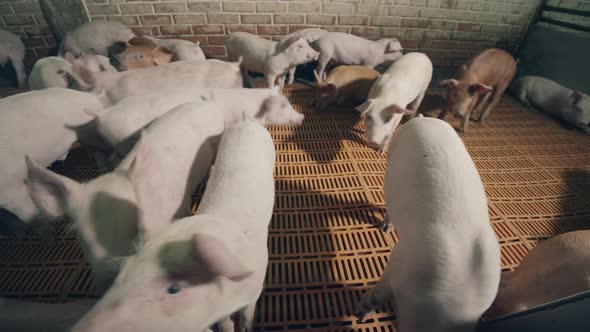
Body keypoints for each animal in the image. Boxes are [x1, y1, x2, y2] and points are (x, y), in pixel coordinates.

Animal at [0, 88, 110, 244]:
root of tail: (91, 96)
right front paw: (19, 237)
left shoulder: (9, 187)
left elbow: (28, 214)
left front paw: (48, 240)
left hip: (90, 133)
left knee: (100, 151)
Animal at [68, 119, 276, 332]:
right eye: (124, 270)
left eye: (174, 288)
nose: (84, 327)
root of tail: (247, 121)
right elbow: (225, 321)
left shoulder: (255, 288)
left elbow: (247, 314)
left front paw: (248, 327)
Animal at [356, 116, 504, 332]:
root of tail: (423, 118)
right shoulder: (401, 259)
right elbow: (379, 294)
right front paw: (360, 315)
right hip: (393, 150)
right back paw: (385, 229)